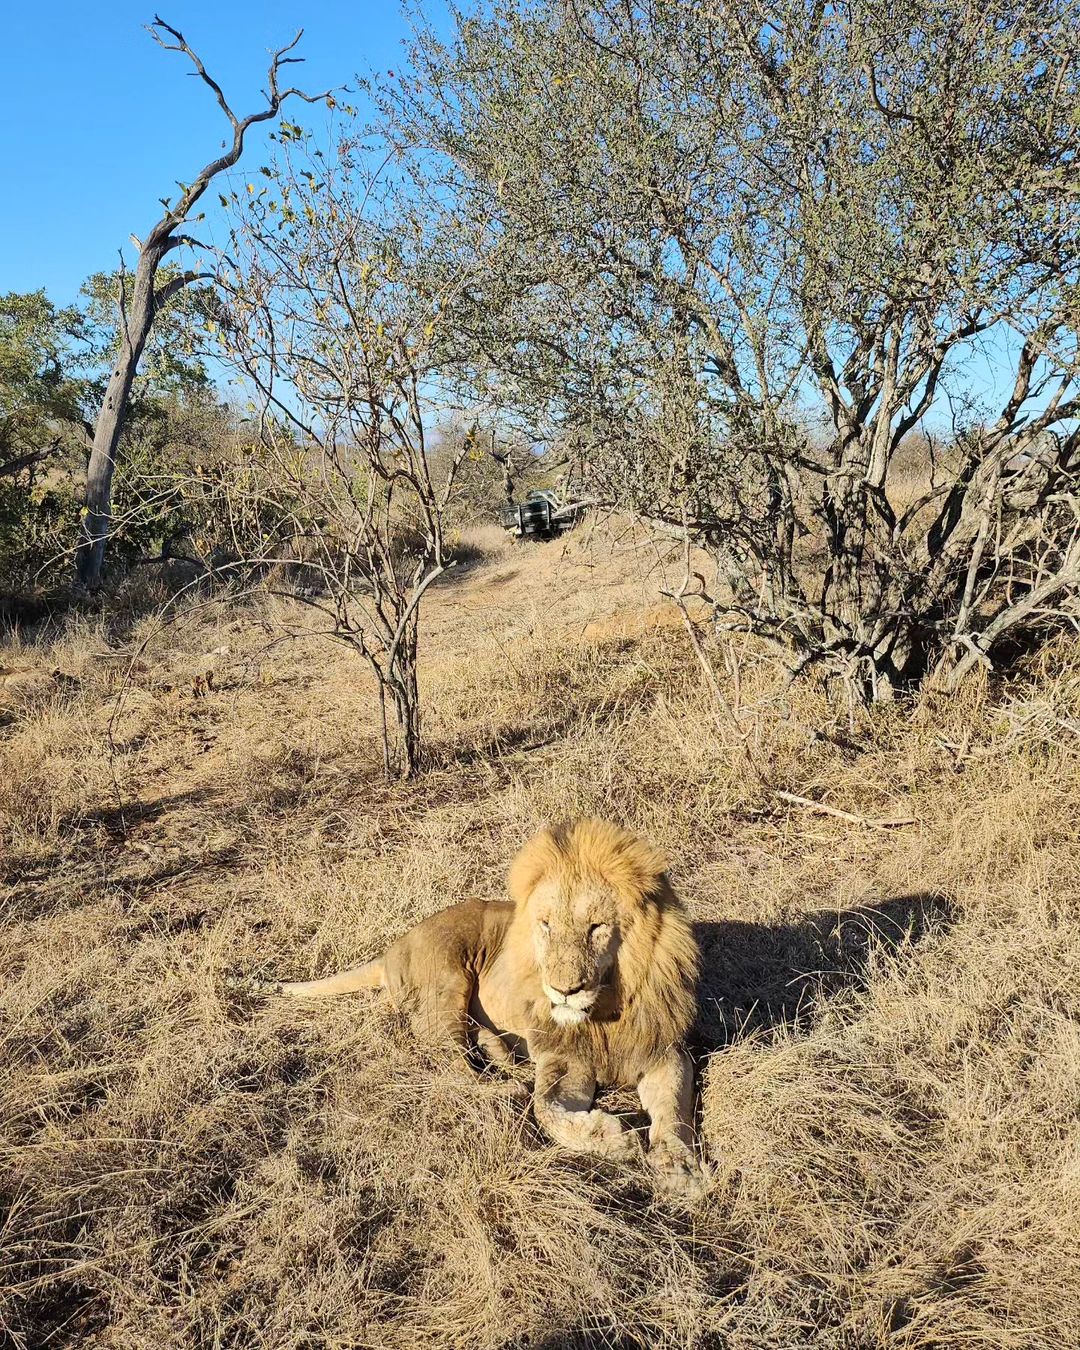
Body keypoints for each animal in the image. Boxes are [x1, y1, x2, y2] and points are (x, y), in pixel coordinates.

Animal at [274, 820, 702, 1193]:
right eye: (545, 925)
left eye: (595, 927)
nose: (563, 990)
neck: (605, 1012)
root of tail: (393, 947)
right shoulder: (563, 1059)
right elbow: (547, 1110)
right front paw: (615, 1139)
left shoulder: (665, 1050)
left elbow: (673, 1112)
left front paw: (681, 1168)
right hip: (446, 981)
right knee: (450, 1066)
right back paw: (510, 1084)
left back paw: (498, 1052)